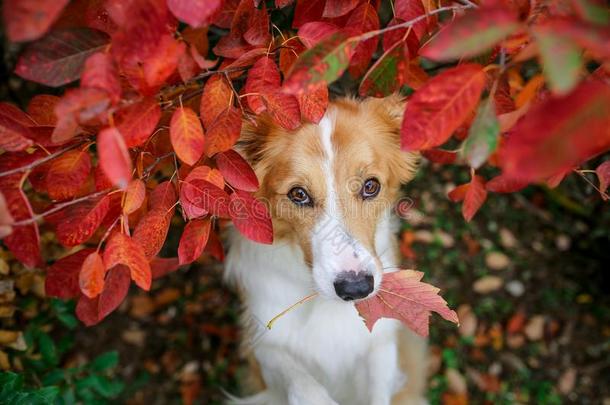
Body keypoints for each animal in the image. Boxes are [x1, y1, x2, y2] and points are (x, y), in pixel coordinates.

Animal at [224, 95, 428, 404]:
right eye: (298, 194)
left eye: (370, 186)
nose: (356, 289)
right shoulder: (263, 347)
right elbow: (305, 386)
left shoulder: (382, 344)